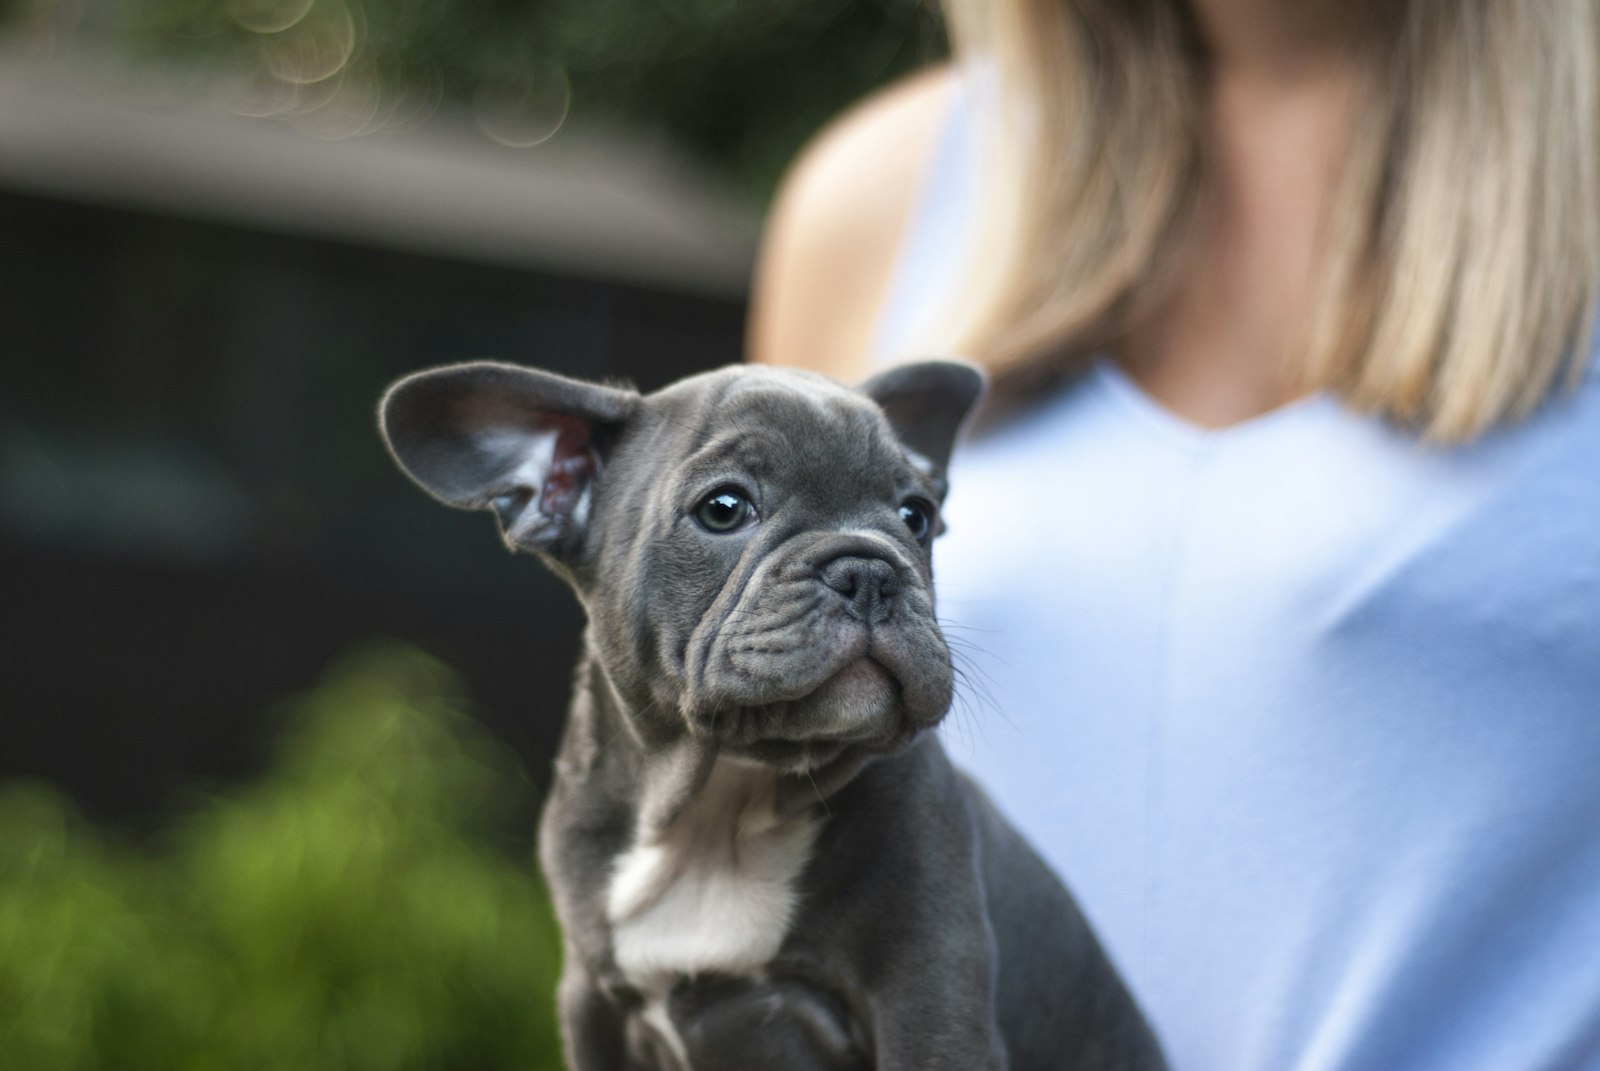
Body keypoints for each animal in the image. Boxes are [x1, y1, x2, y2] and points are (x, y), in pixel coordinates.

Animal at [380, 361, 1171, 1069]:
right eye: (724, 508)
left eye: (916, 517)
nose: (869, 569)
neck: (719, 805)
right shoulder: (592, 1006)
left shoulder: (931, 1003)